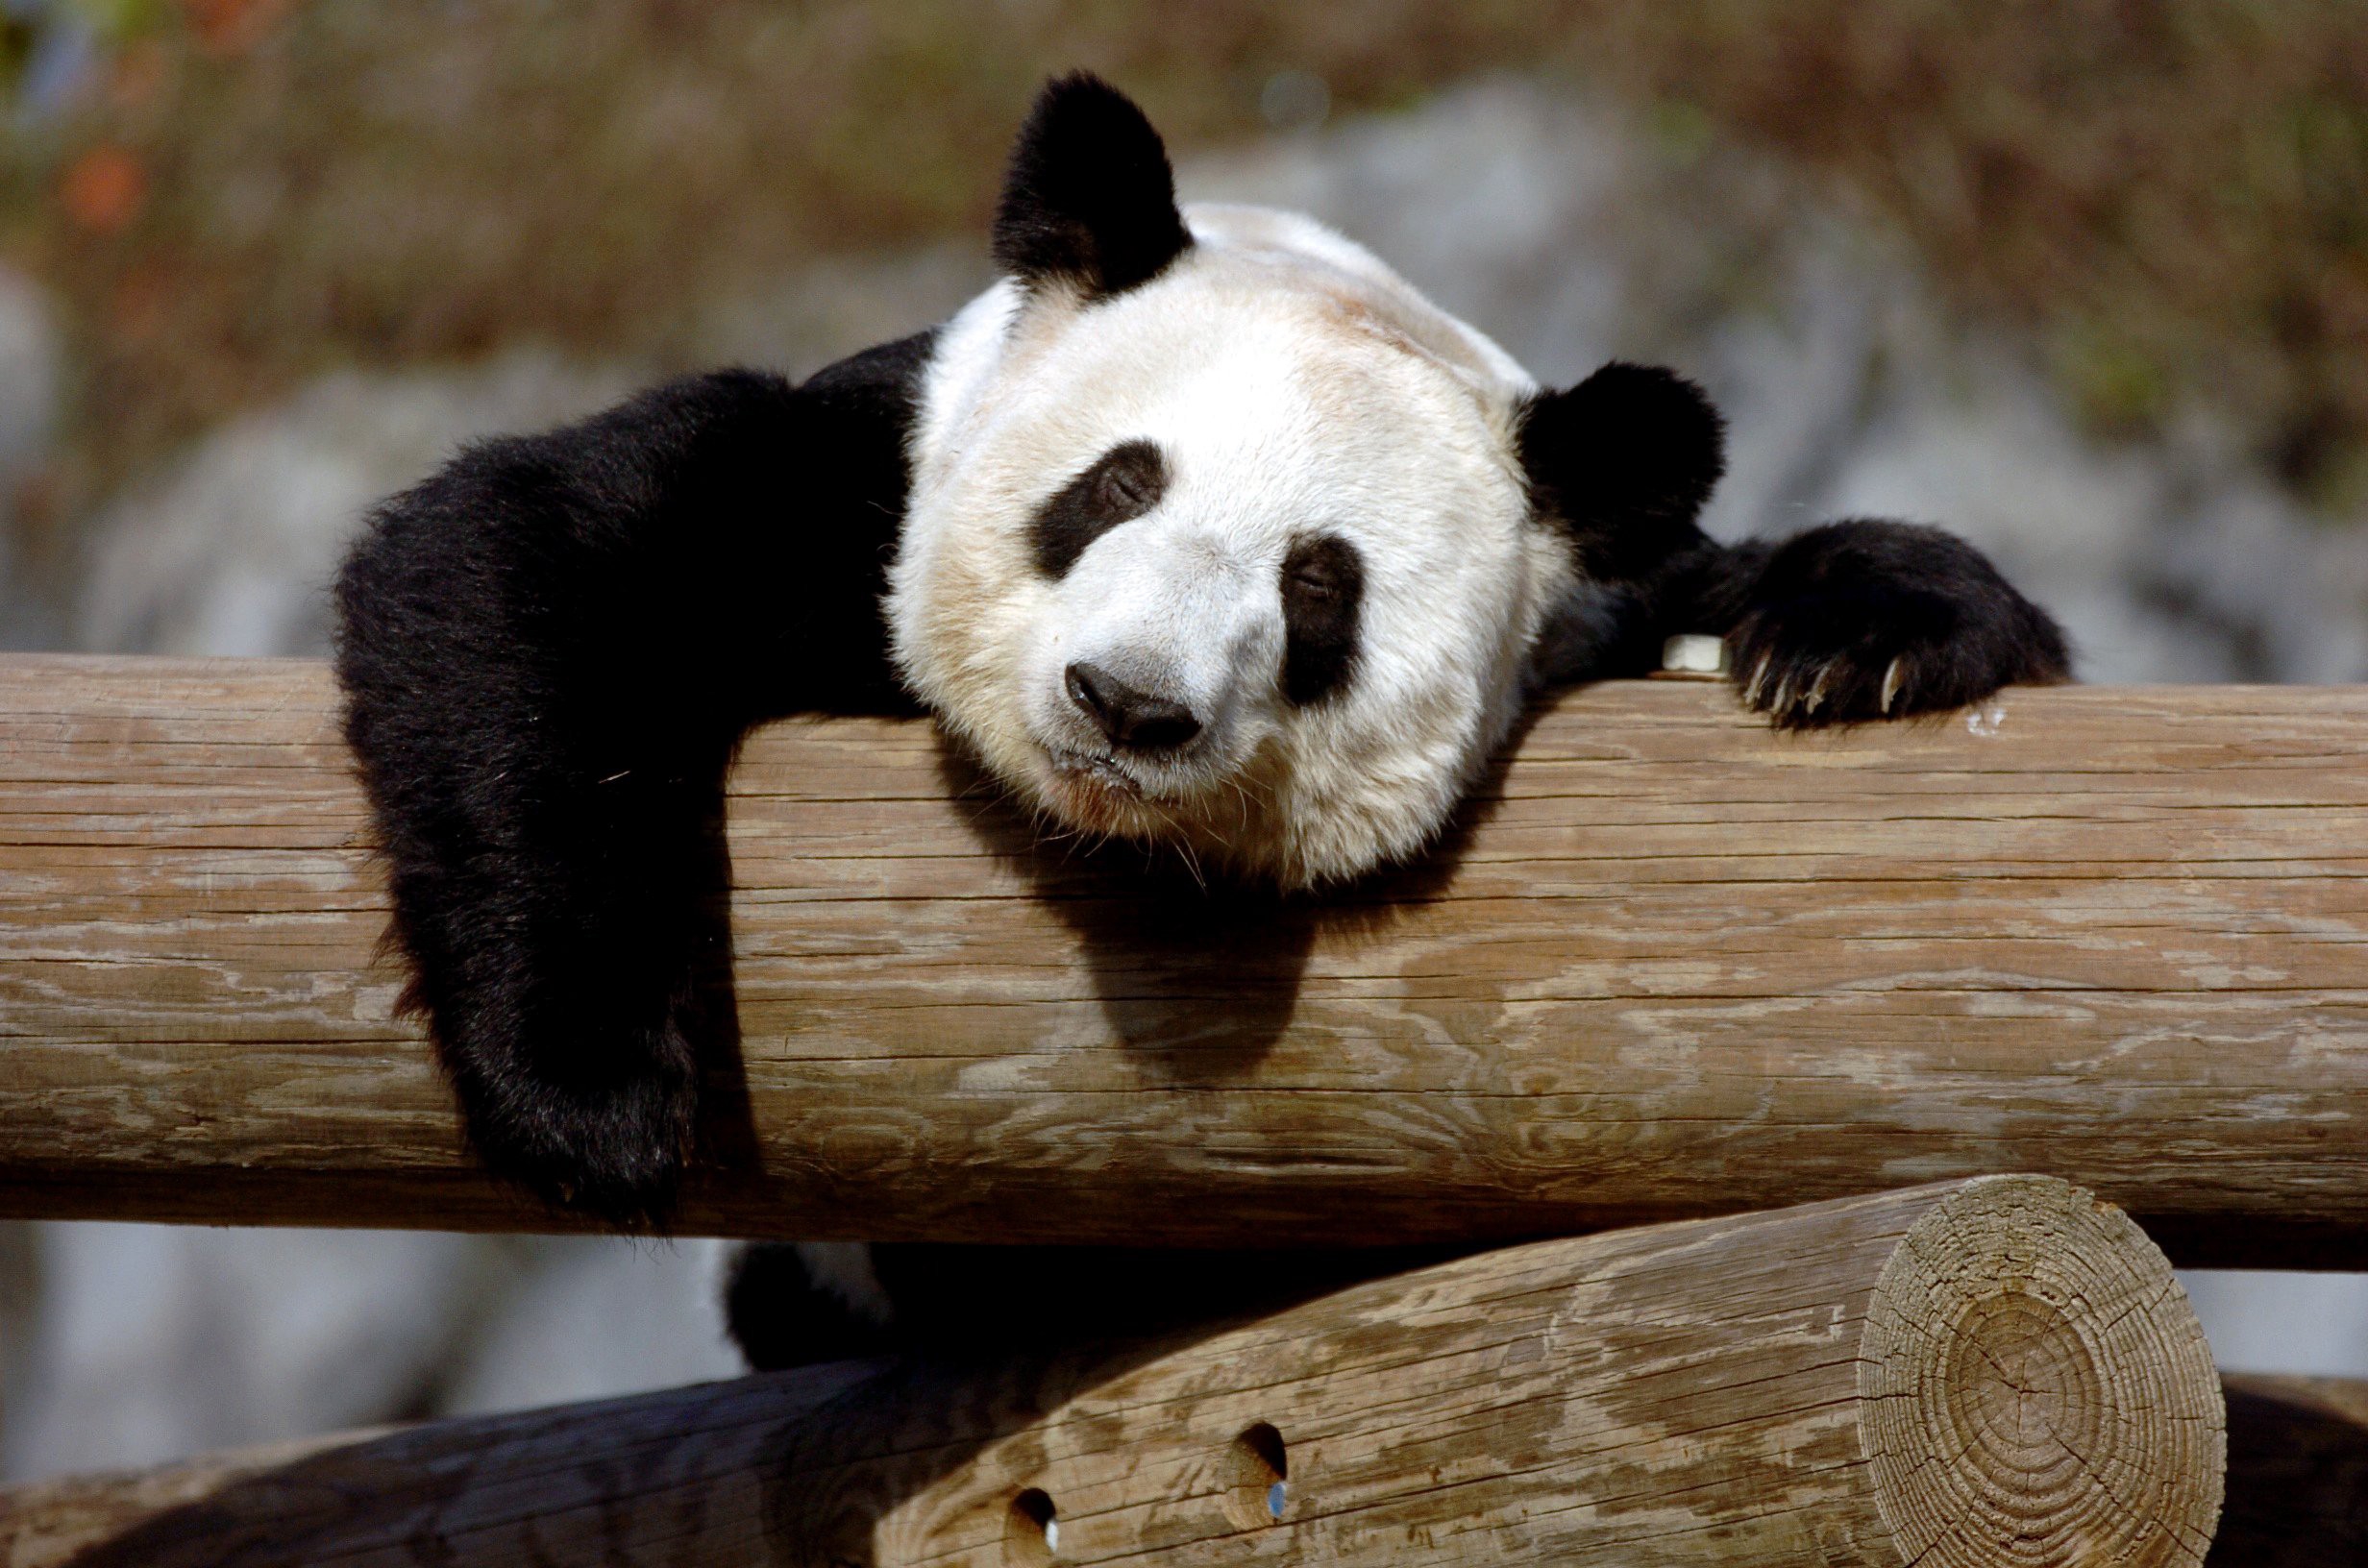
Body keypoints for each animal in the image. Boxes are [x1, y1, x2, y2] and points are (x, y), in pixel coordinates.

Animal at [338, 70, 2074, 1355]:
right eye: (1114, 485)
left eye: (1320, 589)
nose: (1127, 702)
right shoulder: (861, 480)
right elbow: (533, 546)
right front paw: (592, 1101)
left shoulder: (1585, 598)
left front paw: (1858, 633)